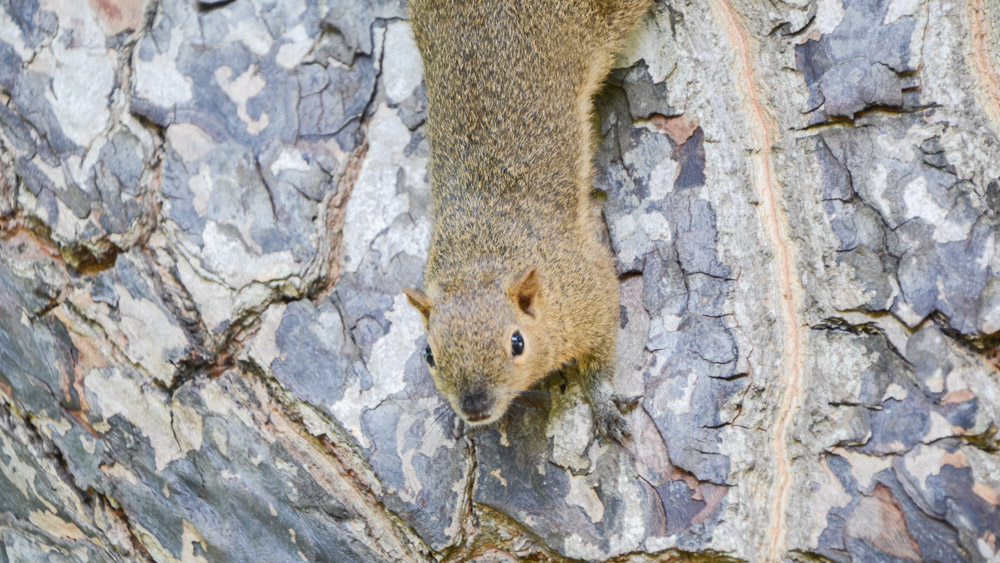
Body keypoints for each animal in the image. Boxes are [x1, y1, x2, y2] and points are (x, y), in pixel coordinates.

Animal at [404, 0, 648, 446]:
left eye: (517, 342)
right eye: (428, 353)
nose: (474, 408)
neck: (481, 257)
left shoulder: (590, 286)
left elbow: (602, 351)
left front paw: (604, 404)